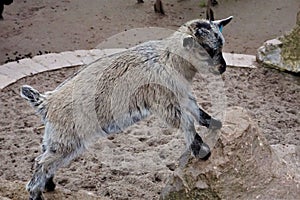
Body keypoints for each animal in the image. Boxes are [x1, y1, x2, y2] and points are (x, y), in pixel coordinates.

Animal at [21, 16, 233, 199]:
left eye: (221, 46)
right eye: (207, 49)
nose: (222, 68)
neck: (168, 58)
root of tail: (46, 101)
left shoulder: (181, 94)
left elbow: (197, 111)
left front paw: (215, 123)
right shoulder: (165, 101)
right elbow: (187, 123)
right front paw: (203, 152)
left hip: (56, 137)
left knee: (44, 156)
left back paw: (49, 186)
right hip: (68, 139)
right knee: (42, 163)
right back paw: (36, 194)